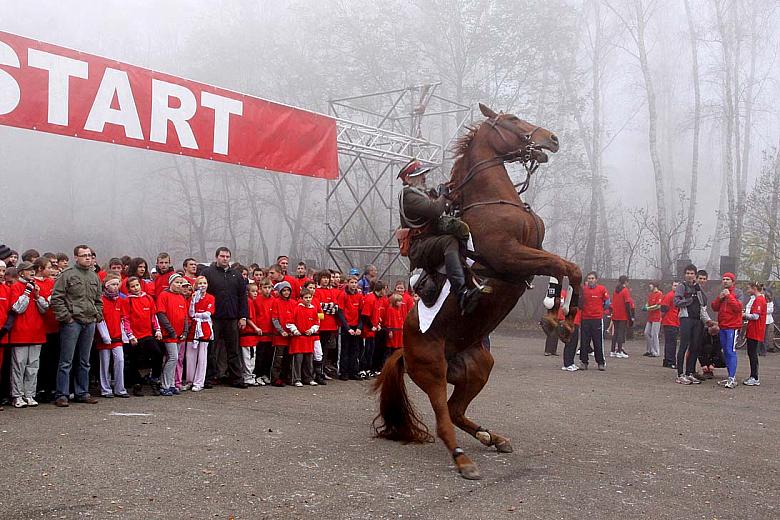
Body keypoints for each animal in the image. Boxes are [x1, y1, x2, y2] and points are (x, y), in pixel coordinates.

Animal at [374, 103, 580, 482]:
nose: (552, 139)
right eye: (512, 119)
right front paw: (562, 321)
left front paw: (555, 318)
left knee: (455, 411)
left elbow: (564, 269)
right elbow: (568, 267)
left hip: (479, 367)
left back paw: (492, 437)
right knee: (443, 419)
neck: (494, 200)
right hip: (433, 370)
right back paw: (463, 460)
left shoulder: (531, 256)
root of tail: (404, 350)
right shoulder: (511, 256)